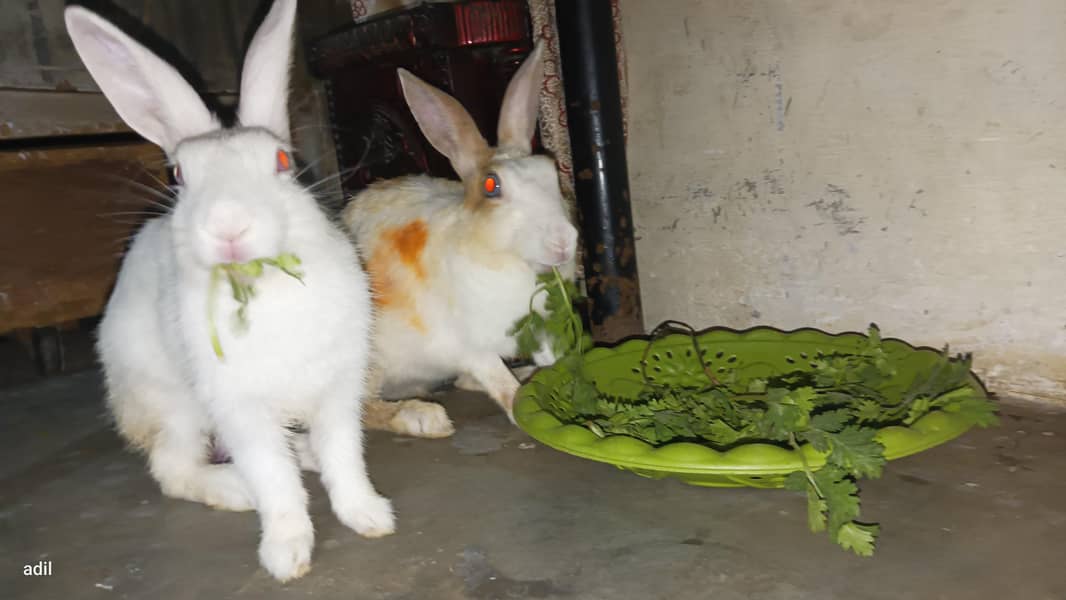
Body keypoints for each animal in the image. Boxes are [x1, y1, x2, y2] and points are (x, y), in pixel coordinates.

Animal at [66, 0, 393, 582]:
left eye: (282, 163)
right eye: (177, 175)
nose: (227, 226)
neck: (266, 289)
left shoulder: (337, 390)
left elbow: (344, 457)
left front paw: (370, 516)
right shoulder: (240, 408)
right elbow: (274, 480)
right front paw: (286, 554)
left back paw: (302, 455)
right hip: (177, 405)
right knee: (172, 469)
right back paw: (235, 488)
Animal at [342, 41, 579, 436]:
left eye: (551, 172)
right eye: (492, 186)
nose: (563, 241)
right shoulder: (469, 345)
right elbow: (499, 382)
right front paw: (523, 410)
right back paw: (422, 418)